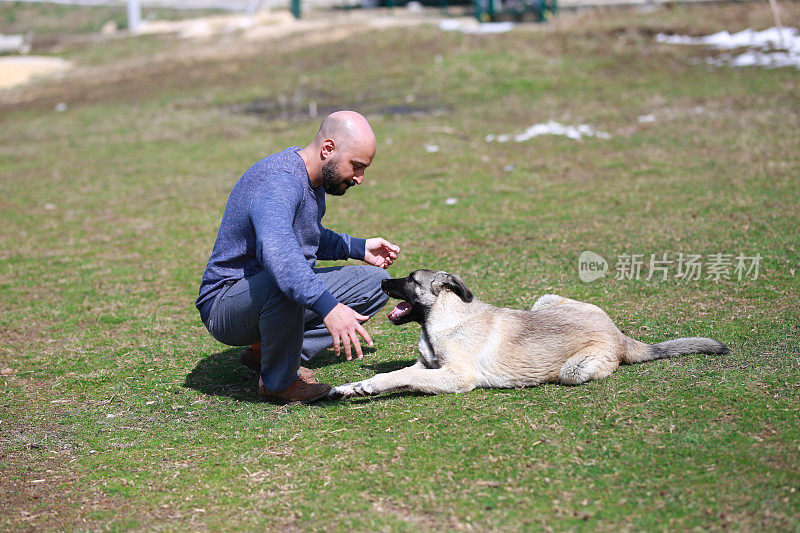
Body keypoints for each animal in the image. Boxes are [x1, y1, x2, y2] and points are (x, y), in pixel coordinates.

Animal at [328, 268, 728, 396]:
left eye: (411, 280)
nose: (382, 280)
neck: (445, 317)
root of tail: (619, 335)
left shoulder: (456, 376)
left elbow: (401, 379)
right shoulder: (426, 367)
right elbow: (392, 375)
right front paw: (354, 387)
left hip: (574, 370)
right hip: (544, 298)